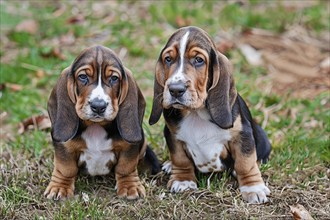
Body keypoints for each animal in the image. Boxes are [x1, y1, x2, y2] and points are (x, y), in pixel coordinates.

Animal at [44, 45, 160, 200]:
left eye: (114, 78)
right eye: (83, 77)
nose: (98, 106)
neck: (96, 126)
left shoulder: (129, 148)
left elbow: (126, 167)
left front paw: (130, 186)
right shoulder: (64, 147)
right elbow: (65, 168)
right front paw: (60, 187)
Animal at [149, 26, 270, 204]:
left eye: (199, 60)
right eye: (168, 59)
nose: (175, 90)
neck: (196, 113)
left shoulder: (242, 135)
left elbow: (245, 162)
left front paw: (252, 187)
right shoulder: (172, 134)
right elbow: (180, 158)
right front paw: (183, 180)